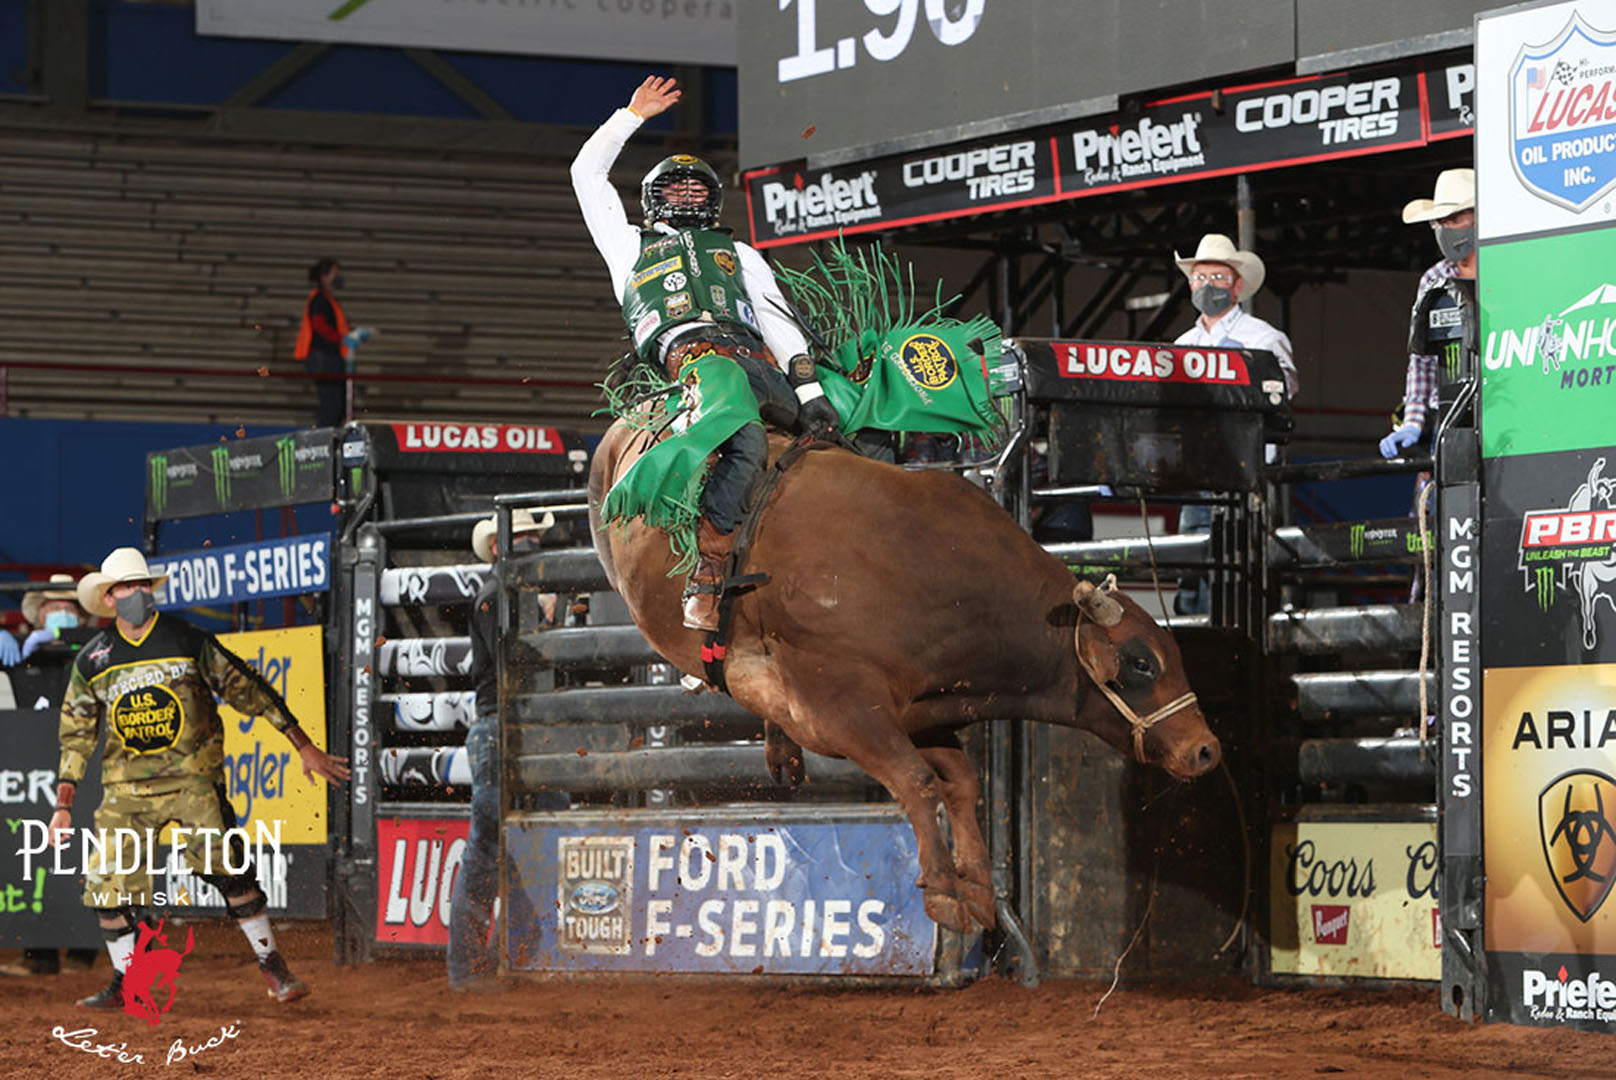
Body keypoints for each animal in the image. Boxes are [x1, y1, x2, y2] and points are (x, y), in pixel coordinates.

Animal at [587, 422, 1221, 932]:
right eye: (1141, 662)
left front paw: (979, 888)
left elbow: (960, 781)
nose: (1206, 750)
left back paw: (778, 747)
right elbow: (916, 780)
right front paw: (943, 892)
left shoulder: (923, 707)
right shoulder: (842, 709)